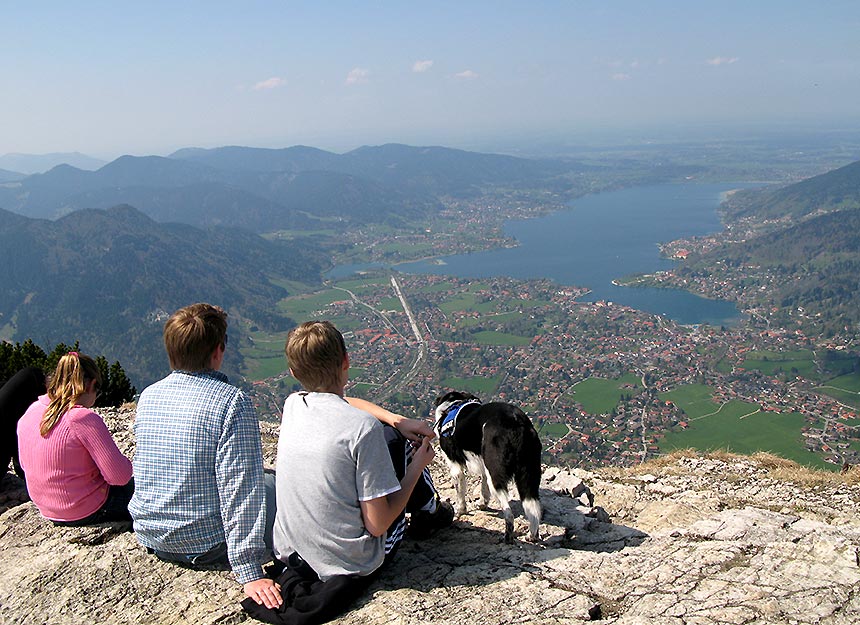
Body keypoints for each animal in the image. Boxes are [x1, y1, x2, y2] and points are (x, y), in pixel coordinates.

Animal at [434, 390, 540, 540]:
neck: (453, 404)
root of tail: (516, 422)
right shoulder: (483, 466)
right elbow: (483, 486)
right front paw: (483, 504)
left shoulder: (455, 466)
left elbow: (460, 492)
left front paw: (460, 510)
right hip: (529, 473)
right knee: (533, 508)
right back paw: (532, 535)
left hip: (496, 474)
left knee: (509, 513)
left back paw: (507, 535)